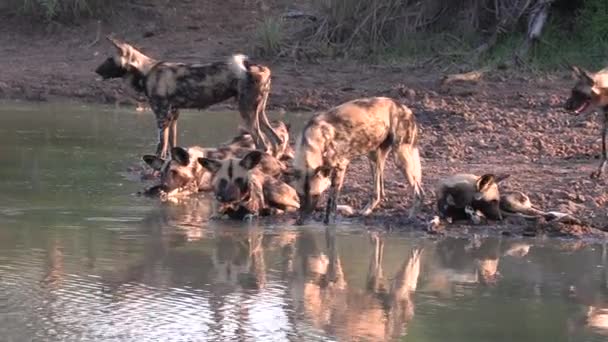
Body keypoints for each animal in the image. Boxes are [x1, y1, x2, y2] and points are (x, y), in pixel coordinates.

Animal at [95, 36, 284, 160]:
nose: (96, 70)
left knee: (262, 144)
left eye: (109, 59)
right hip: (259, 113)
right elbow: (171, 145)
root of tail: (260, 67)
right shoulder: (173, 115)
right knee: (276, 140)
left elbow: (160, 146)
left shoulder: (161, 117)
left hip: (247, 113)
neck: (145, 71)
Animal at [290, 96, 426, 224]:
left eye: (316, 195)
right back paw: (367, 210)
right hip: (374, 157)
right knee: (379, 192)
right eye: (300, 195)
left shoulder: (341, 167)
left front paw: (329, 225)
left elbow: (331, 205)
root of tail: (404, 107)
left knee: (418, 192)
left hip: (400, 158)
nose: (302, 219)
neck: (314, 140)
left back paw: (410, 217)